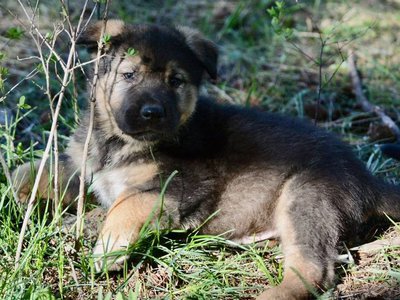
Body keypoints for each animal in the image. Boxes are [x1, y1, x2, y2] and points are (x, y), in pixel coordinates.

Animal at [12, 19, 400, 298]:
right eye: (129, 75)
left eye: (176, 81)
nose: (152, 113)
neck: (116, 141)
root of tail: (366, 177)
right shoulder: (87, 168)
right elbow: (42, 169)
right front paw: (17, 193)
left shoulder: (173, 188)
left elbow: (124, 206)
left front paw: (108, 248)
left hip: (305, 195)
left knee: (314, 271)